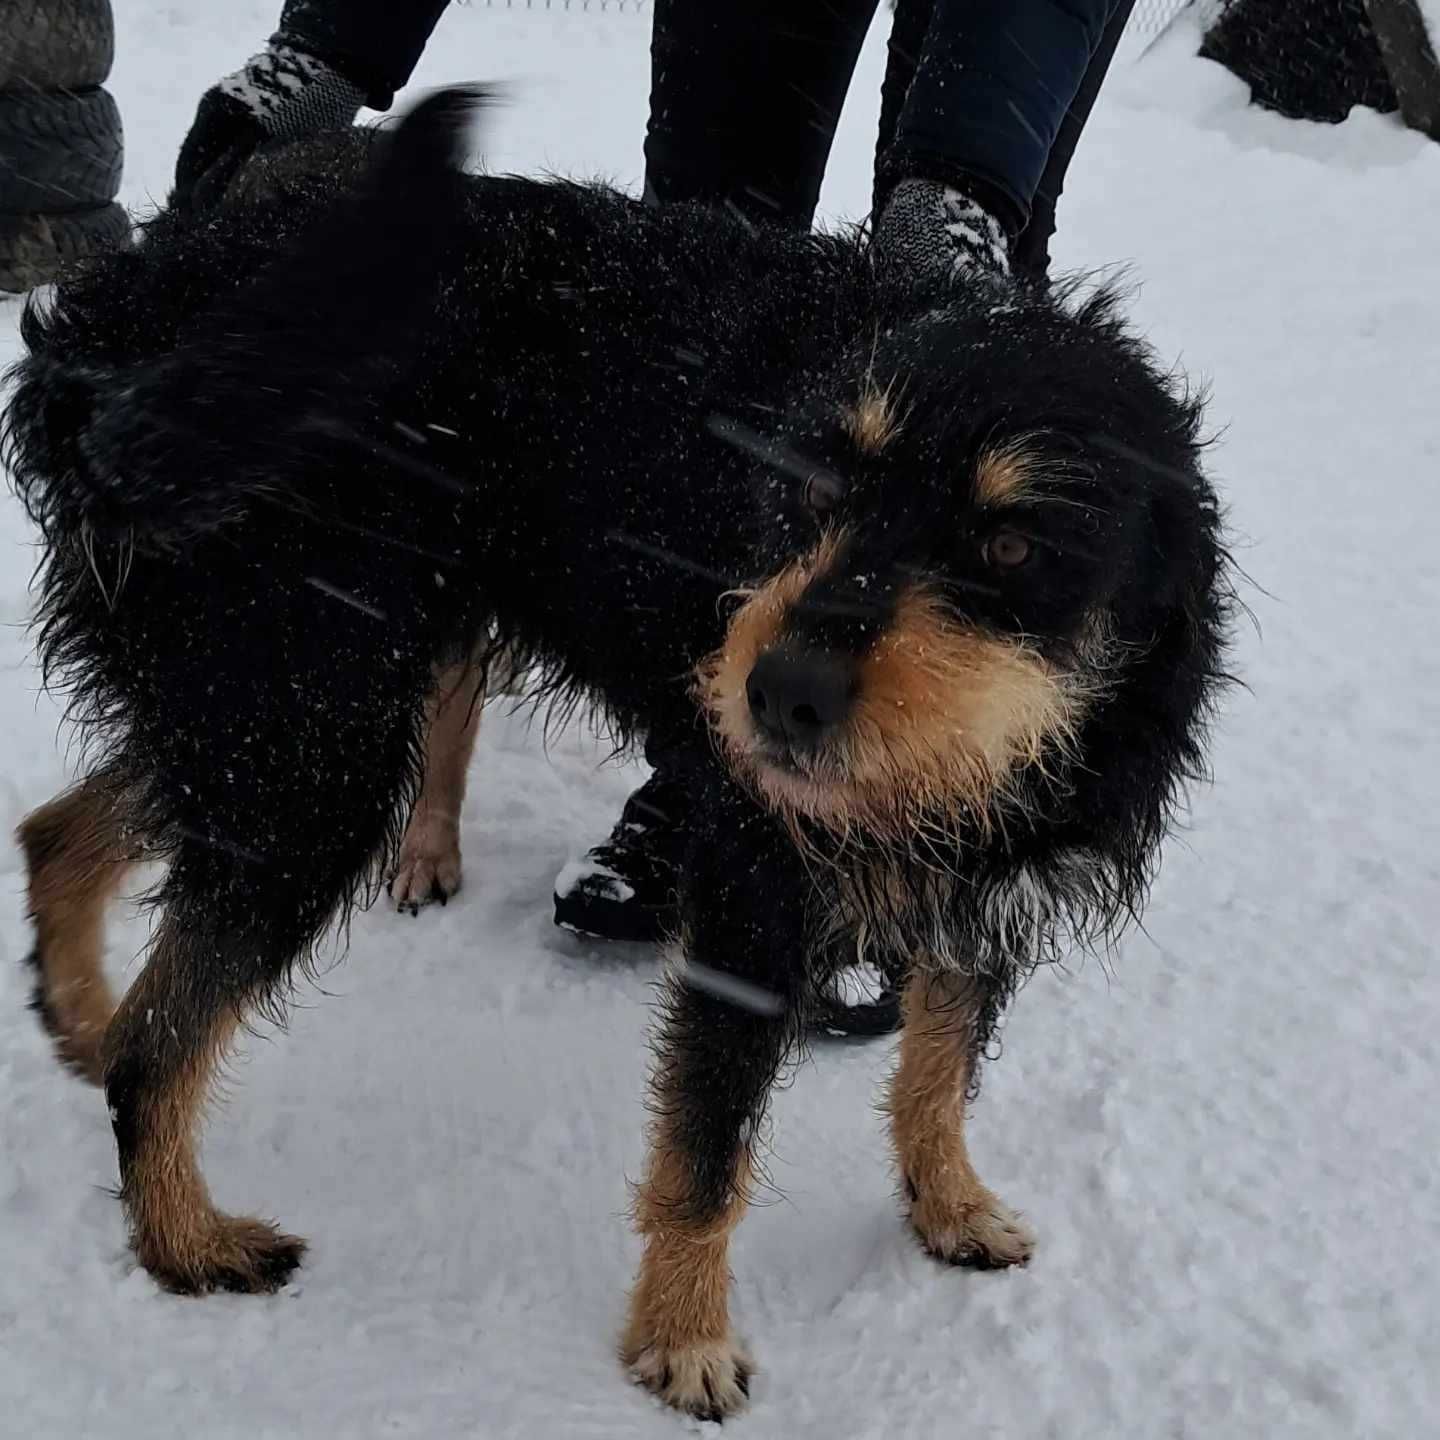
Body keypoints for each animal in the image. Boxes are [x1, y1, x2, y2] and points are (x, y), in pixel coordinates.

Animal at [5, 95, 1232, 1422]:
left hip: (271, 710)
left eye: (1010, 544)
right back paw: (182, 1238)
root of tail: (136, 308)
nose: (774, 694)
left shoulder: (992, 872)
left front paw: (946, 1202)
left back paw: (82, 1016)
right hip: (307, 731)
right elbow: (707, 1152)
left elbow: (941, 1064)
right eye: (812, 487)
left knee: (64, 837)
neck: (1005, 746)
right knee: (161, 1044)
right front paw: (682, 1338)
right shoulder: (754, 896)